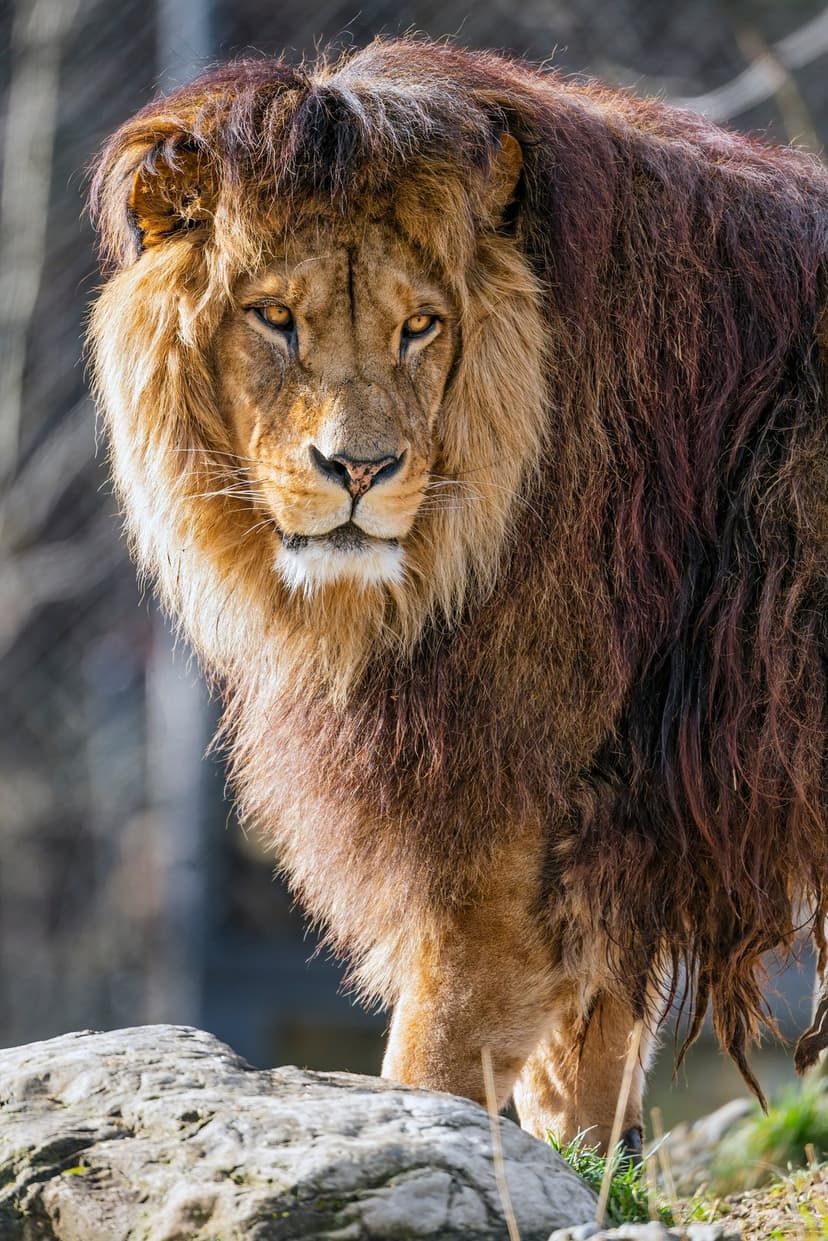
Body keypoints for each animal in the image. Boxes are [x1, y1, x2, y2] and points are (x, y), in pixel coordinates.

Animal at [88, 40, 828, 1153]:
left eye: (420, 328)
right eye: (276, 319)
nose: (359, 468)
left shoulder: (497, 835)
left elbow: (430, 1070)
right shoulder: (605, 826)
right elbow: (580, 1078)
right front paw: (583, 1167)